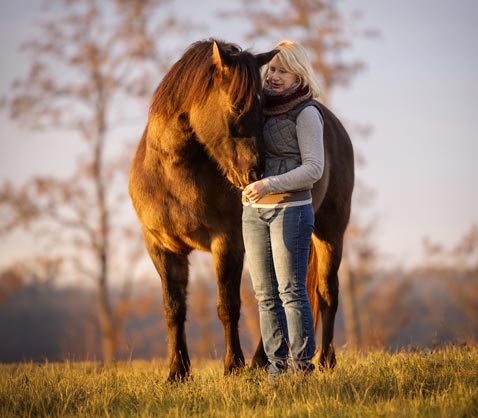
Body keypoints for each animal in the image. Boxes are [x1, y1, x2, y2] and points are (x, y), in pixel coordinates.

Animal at [129, 39, 354, 381]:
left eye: (263, 108)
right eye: (236, 107)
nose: (255, 174)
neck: (172, 172)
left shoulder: (227, 243)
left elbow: (227, 305)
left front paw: (232, 367)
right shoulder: (161, 247)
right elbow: (174, 308)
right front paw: (177, 373)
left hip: (330, 233)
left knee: (327, 293)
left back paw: (324, 361)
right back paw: (263, 362)